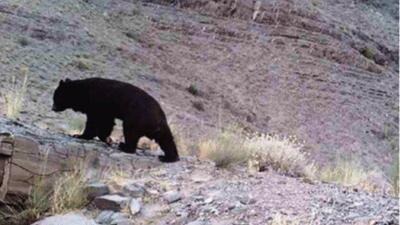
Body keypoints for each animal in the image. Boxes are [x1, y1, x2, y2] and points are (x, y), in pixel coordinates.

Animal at [52, 77, 180, 162]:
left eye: (56, 97)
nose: (53, 108)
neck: (83, 92)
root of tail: (159, 118)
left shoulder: (97, 103)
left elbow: (96, 121)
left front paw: (80, 135)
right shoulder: (105, 109)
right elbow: (106, 122)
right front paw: (107, 139)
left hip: (135, 118)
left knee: (130, 132)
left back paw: (124, 146)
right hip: (158, 127)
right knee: (166, 139)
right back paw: (169, 157)